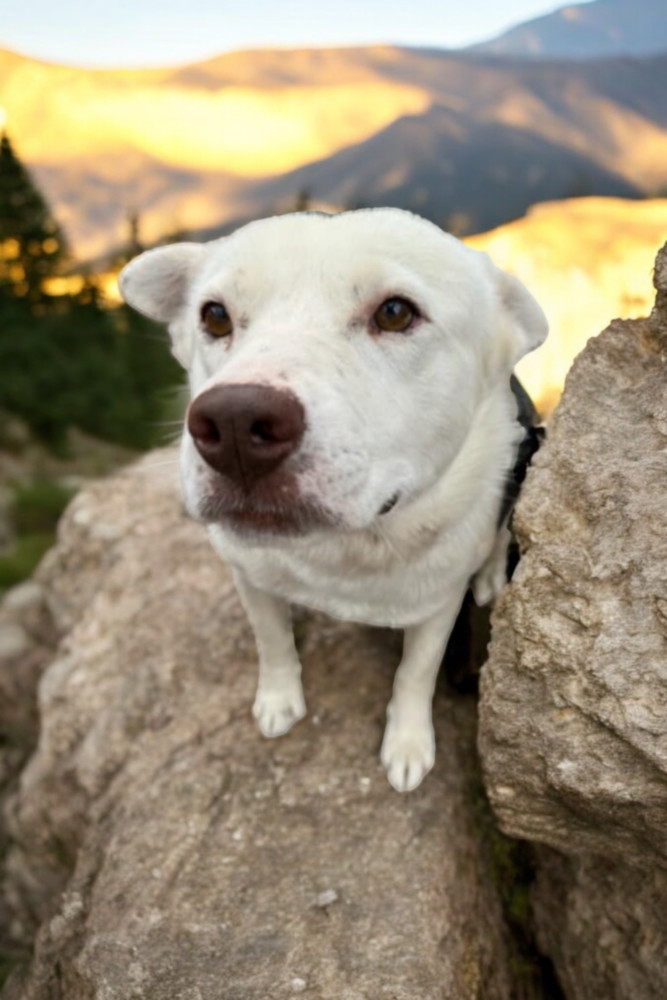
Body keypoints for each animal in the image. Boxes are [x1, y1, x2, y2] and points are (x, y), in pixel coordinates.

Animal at [120, 209, 548, 788]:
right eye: (215, 316)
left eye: (395, 312)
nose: (234, 425)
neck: (347, 550)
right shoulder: (248, 575)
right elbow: (272, 639)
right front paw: (279, 699)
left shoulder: (438, 604)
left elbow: (415, 673)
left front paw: (407, 742)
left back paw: (489, 577)